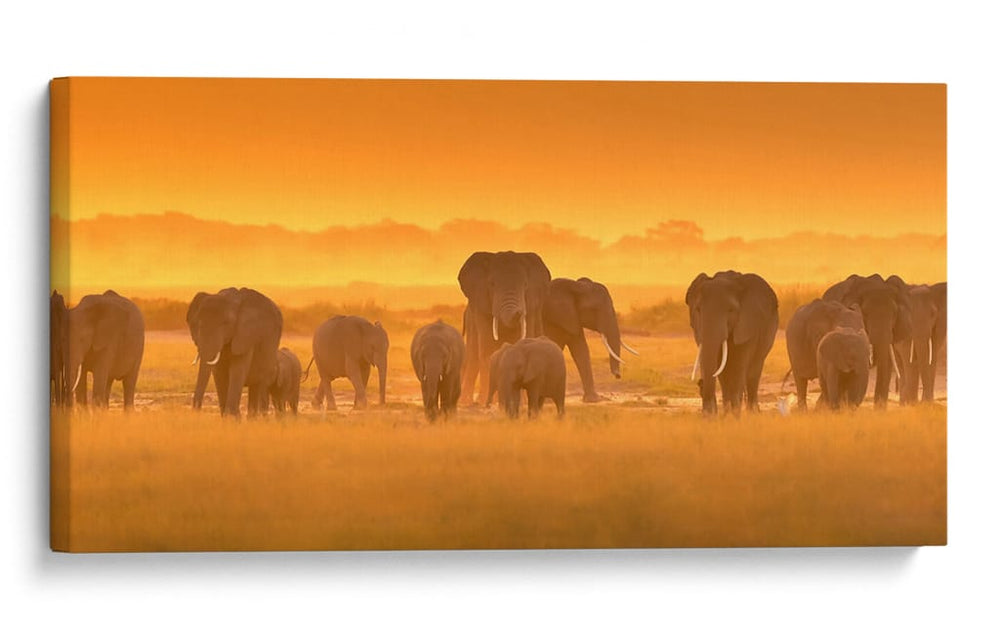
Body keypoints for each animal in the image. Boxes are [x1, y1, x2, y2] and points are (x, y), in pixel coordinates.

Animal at [187, 287, 283, 417]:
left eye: (225, 323)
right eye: (198, 324)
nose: (196, 412)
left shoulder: (245, 335)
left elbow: (238, 368)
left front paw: (232, 416)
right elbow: (218, 372)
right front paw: (228, 417)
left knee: (261, 384)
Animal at [458, 251, 551, 406]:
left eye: (525, 285)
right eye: (492, 284)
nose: (518, 312)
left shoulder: (531, 308)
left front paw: (521, 401)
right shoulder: (481, 307)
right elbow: (488, 350)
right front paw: (491, 401)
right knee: (472, 357)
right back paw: (467, 402)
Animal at [685, 271, 779, 415]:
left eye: (730, 310)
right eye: (698, 310)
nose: (700, 383)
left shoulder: (747, 326)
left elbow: (739, 364)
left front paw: (735, 413)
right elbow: (719, 366)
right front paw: (726, 414)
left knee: (754, 371)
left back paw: (753, 412)